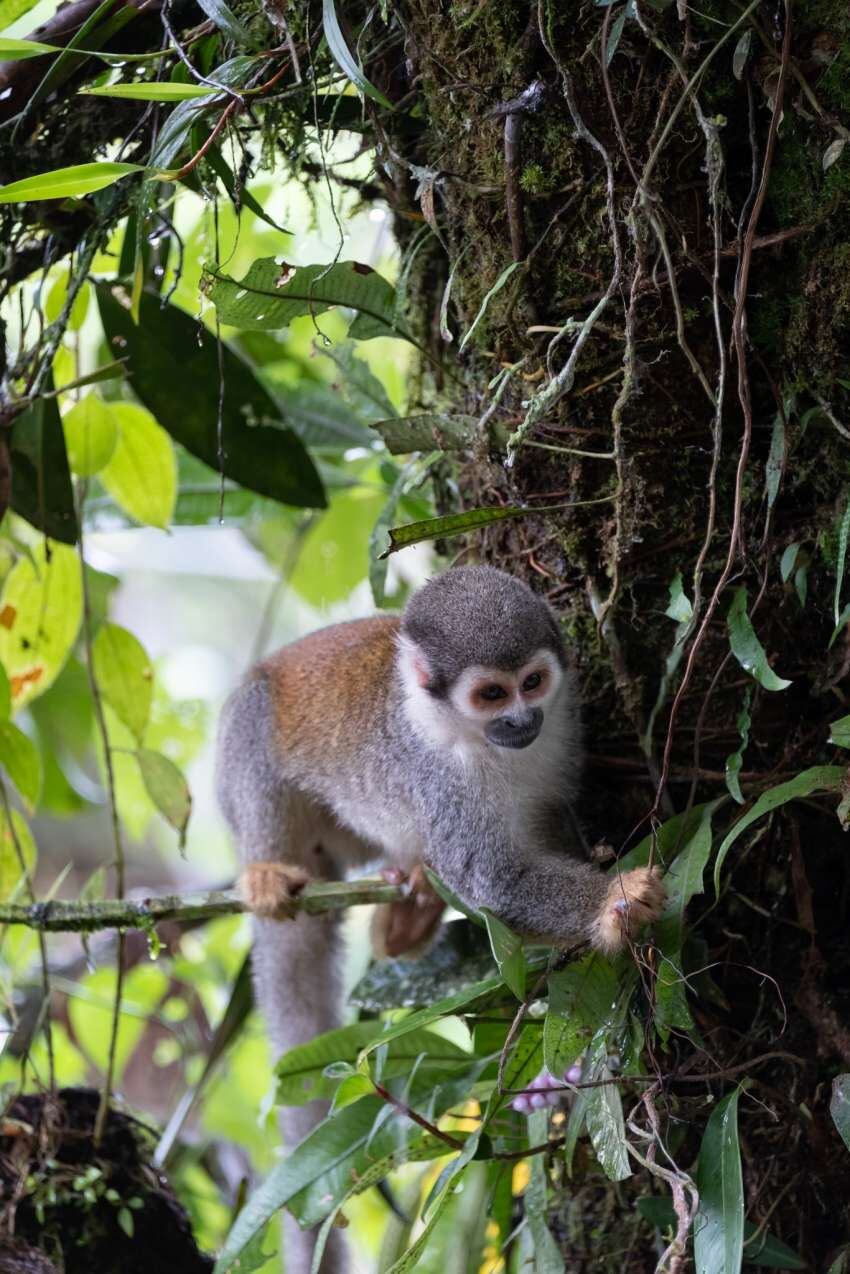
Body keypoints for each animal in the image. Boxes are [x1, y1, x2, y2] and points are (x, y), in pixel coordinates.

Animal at [216, 568, 667, 1274]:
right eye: (491, 694)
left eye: (532, 682)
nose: (521, 719)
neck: (471, 739)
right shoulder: (441, 780)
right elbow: (494, 881)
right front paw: (613, 904)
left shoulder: (562, 725)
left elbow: (546, 823)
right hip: (247, 769)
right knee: (254, 730)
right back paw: (267, 871)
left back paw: (405, 912)